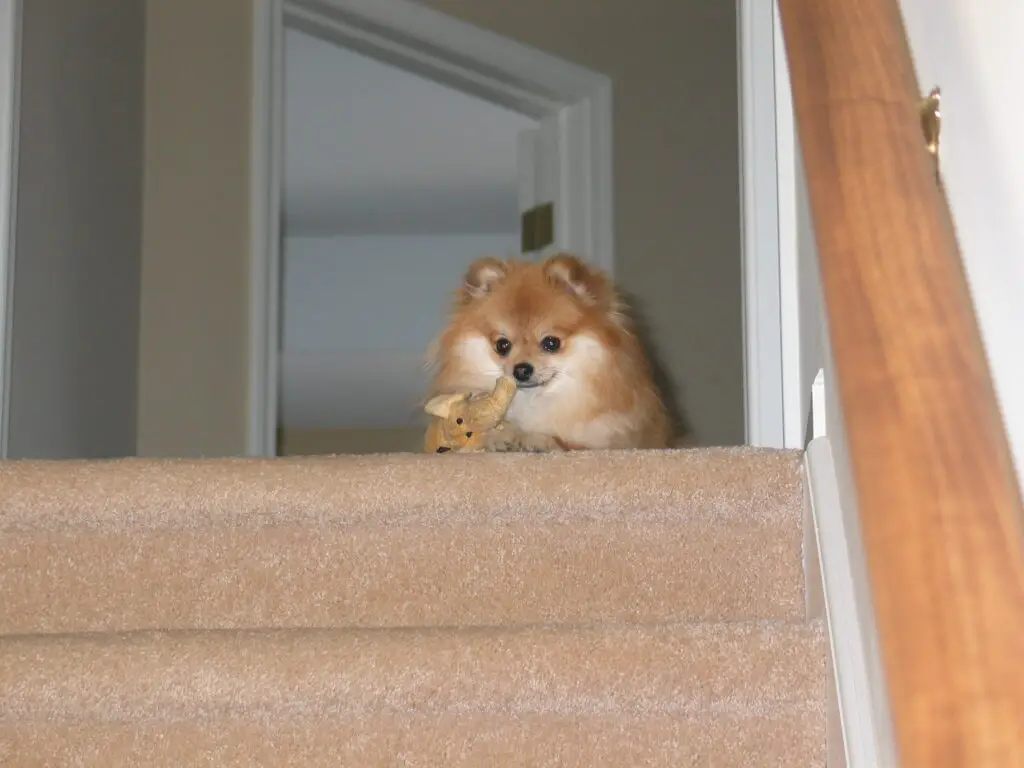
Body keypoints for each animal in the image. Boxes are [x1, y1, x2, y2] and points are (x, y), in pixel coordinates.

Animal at [423, 252, 671, 450]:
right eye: (502, 345)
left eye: (551, 343)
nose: (521, 370)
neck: (536, 402)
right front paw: (500, 436)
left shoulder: (611, 442)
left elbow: (568, 443)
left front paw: (537, 439)